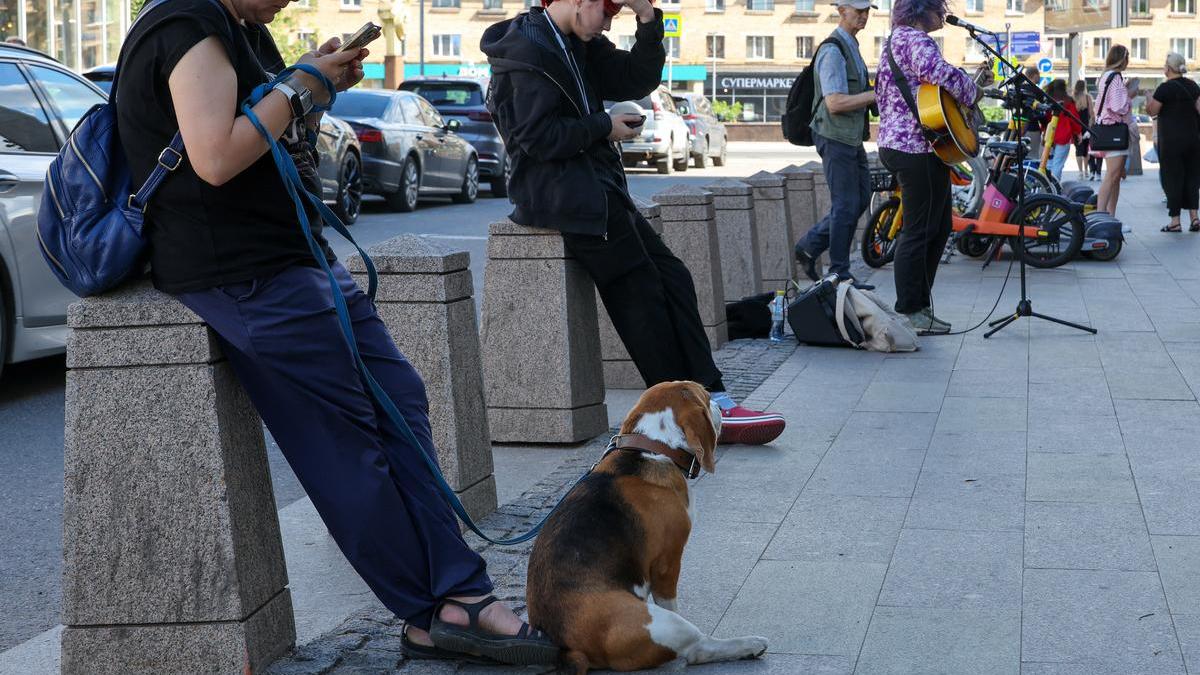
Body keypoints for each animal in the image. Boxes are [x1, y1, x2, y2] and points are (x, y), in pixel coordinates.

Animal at [525, 381, 768, 667]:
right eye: (707, 397)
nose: (719, 406)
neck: (654, 449)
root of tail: (567, 645)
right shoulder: (667, 562)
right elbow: (670, 599)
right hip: (666, 624)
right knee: (697, 649)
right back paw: (748, 644)